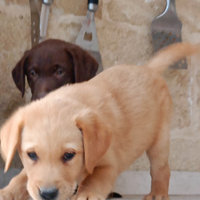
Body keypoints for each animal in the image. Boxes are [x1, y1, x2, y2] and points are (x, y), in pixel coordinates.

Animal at [0, 42, 197, 200]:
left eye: (69, 155)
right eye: (32, 154)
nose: (48, 194)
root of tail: (148, 68)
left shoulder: (109, 164)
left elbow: (96, 178)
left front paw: (87, 194)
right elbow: (21, 178)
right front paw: (7, 192)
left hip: (160, 139)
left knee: (161, 169)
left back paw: (158, 193)